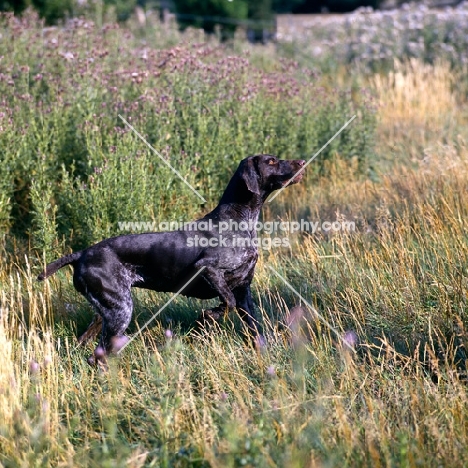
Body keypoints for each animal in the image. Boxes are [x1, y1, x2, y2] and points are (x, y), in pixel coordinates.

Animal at [37, 154, 308, 366]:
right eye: (271, 161)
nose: (303, 162)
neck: (238, 219)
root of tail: (82, 254)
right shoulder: (207, 269)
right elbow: (226, 303)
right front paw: (207, 317)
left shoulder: (244, 291)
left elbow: (254, 328)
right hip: (121, 310)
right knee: (97, 356)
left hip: (106, 312)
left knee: (87, 347)